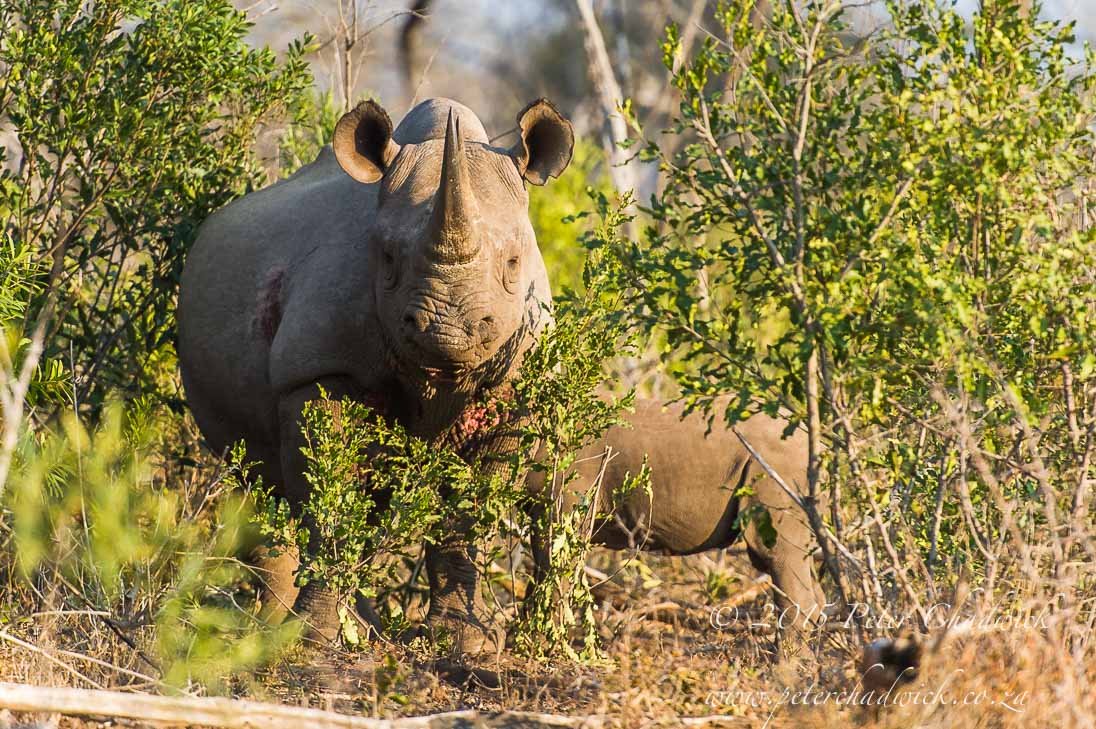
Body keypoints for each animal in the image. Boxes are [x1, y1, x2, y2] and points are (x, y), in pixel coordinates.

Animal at [177, 97, 574, 650]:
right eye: (386, 258)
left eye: (514, 263)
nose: (449, 330)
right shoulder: (319, 369)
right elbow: (328, 499)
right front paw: (315, 637)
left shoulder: (513, 389)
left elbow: (468, 517)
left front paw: (459, 641)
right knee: (256, 477)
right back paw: (279, 627)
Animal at [527, 399, 826, 639]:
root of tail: (813, 440)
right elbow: (542, 573)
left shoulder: (566, 499)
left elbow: (554, 573)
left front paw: (543, 647)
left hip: (777, 465)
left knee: (774, 554)